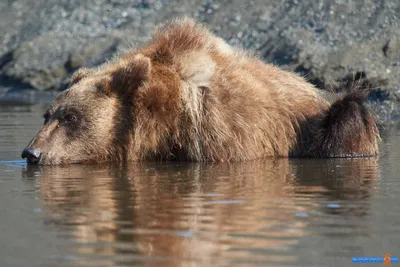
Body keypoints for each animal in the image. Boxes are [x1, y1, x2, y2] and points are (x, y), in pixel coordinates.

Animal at [21, 17, 378, 165]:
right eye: (47, 114)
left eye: (71, 117)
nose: (31, 153)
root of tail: (314, 89)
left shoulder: (217, 136)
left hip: (321, 128)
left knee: (347, 116)